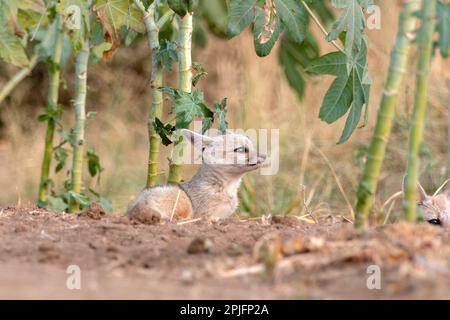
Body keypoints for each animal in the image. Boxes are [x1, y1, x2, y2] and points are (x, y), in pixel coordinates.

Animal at [125, 128, 268, 222]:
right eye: (241, 150)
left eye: (252, 147)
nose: (265, 156)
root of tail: (135, 206)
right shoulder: (208, 215)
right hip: (184, 202)